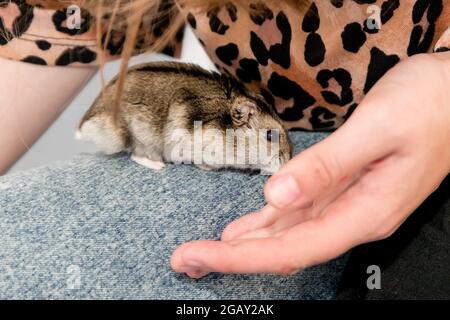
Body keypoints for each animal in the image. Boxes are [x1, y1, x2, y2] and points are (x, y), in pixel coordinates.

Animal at [75, 61, 294, 174]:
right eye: (270, 135)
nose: (288, 161)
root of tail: (84, 124)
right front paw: (207, 168)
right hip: (140, 139)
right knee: (135, 154)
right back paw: (159, 166)